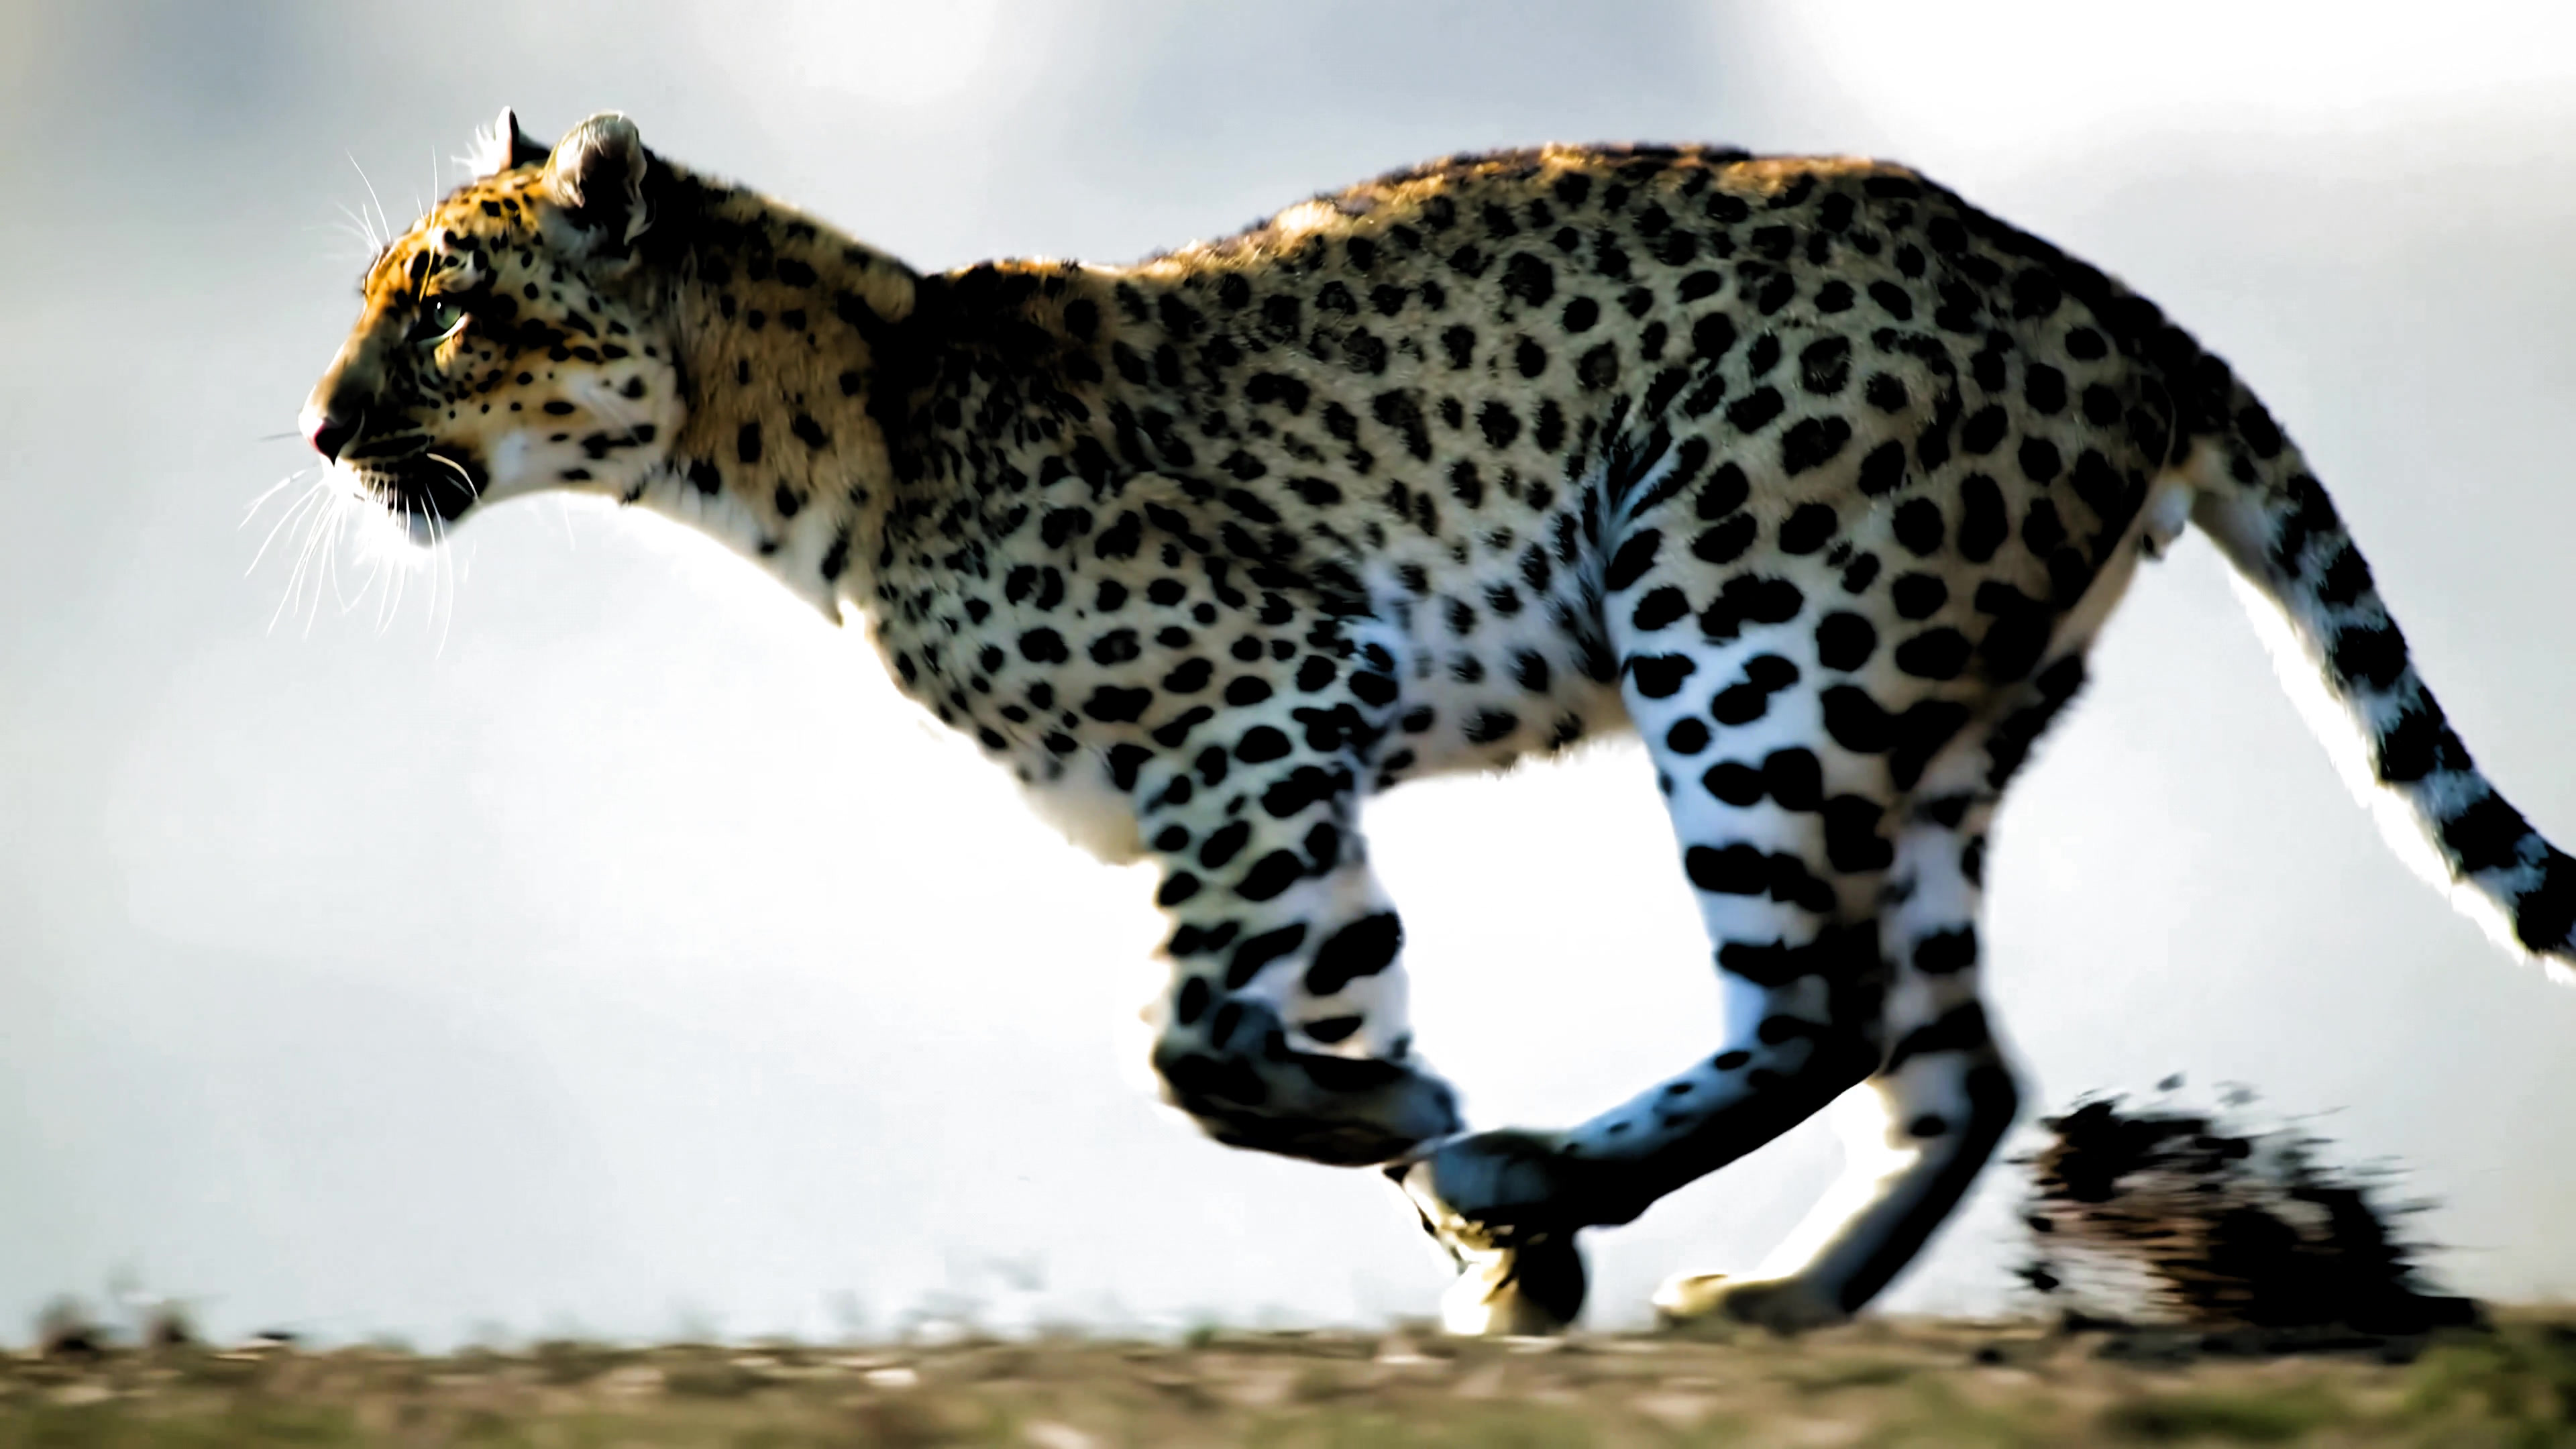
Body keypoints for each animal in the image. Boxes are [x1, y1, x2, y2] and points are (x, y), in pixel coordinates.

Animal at [299, 110, 2576, 1336]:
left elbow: (1185, 1045)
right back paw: (1766, 1291)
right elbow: (1327, 995)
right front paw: (1479, 1238)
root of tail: (2112, 296)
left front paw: (1449, 1158)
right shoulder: (1285, 796)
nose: (320, 428)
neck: (799, 455)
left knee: (1817, 1004)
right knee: (1951, 1056)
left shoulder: (1273, 701)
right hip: (1917, 727)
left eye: (447, 307)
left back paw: (1548, 1163)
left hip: (1747, 620)